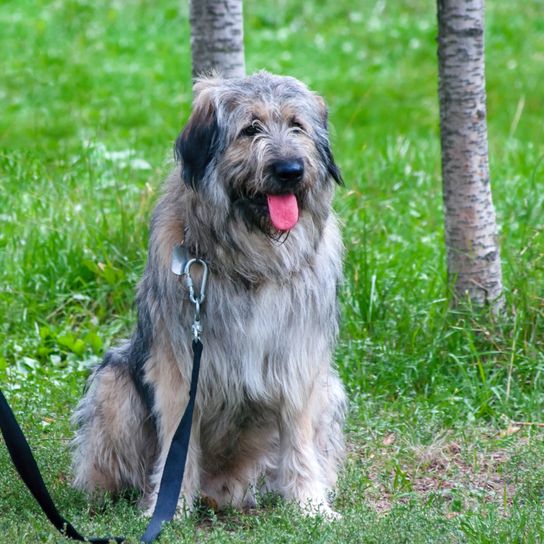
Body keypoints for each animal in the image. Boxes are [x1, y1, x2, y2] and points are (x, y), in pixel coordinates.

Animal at [72, 71, 346, 520]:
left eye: (297, 126)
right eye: (250, 129)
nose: (290, 170)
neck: (253, 263)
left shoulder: (299, 363)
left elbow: (299, 439)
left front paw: (310, 506)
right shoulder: (179, 370)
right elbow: (176, 448)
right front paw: (168, 510)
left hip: (330, 390)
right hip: (115, 385)